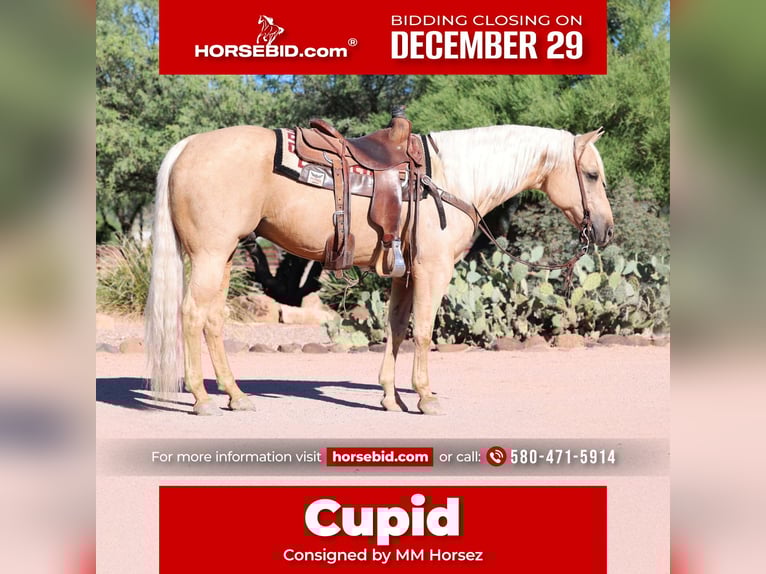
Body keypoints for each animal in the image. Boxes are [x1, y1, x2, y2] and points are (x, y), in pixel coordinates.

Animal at [145, 123, 614, 416]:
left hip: (222, 257)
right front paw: (424, 397)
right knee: (191, 316)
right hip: (210, 255)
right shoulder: (432, 270)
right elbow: (423, 331)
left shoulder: (404, 273)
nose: (605, 230)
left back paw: (235, 395)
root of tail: (188, 145)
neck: (453, 178)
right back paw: (202, 399)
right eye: (591, 174)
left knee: (212, 320)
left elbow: (396, 328)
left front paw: (391, 398)